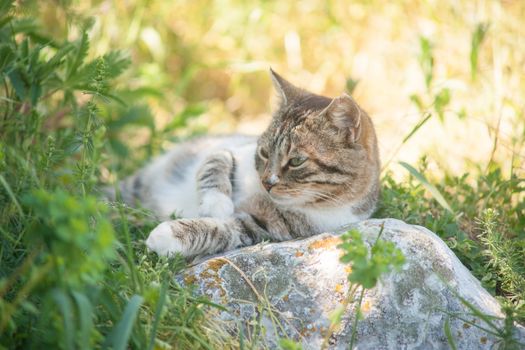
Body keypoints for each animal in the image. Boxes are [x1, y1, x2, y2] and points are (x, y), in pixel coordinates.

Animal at [115, 69, 376, 258]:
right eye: (264, 152)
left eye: (297, 161)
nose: (266, 183)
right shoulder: (231, 148)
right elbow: (214, 163)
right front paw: (216, 202)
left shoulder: (266, 228)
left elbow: (221, 230)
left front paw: (166, 235)